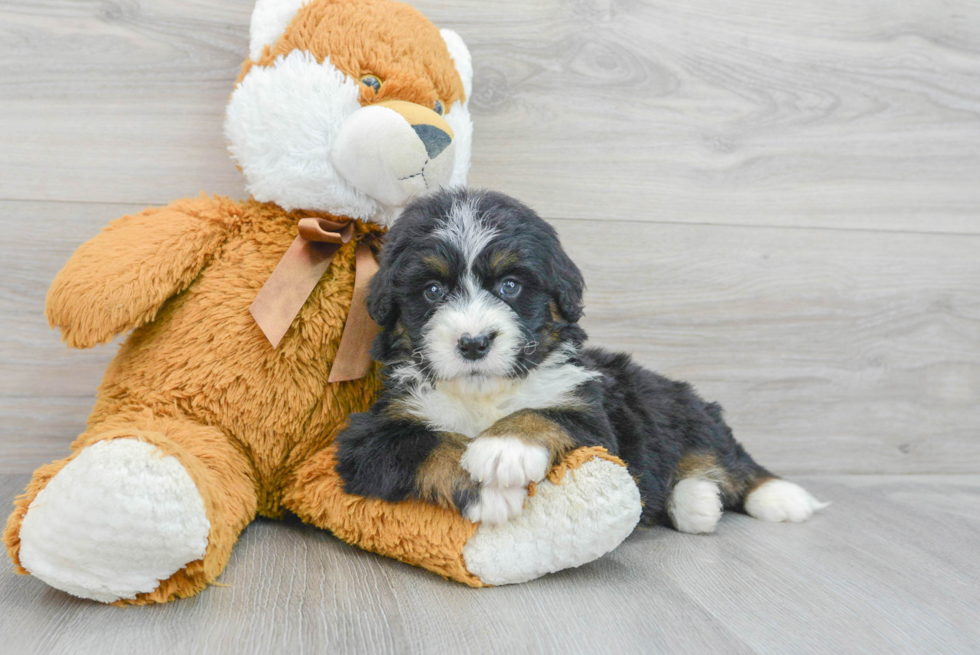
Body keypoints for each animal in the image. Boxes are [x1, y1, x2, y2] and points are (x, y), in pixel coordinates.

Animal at [336, 187, 828, 532]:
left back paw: (780, 497)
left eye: (510, 286)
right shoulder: (369, 435)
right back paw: (696, 500)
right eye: (433, 291)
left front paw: (503, 448)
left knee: (733, 459)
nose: (474, 343)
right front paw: (486, 490)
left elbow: (545, 413)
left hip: (679, 406)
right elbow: (428, 443)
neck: (483, 396)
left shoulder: (592, 415)